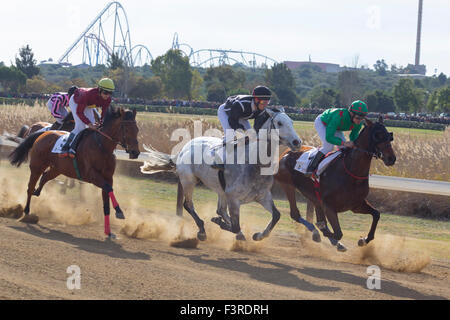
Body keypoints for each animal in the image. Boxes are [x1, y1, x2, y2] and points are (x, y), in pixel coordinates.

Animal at [8, 107, 139, 238]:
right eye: (127, 129)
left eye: (137, 130)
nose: (135, 152)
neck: (102, 146)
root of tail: (43, 133)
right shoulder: (92, 176)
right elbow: (108, 188)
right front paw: (119, 211)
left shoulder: (108, 177)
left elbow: (106, 203)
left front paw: (108, 232)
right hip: (37, 166)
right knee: (30, 187)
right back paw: (26, 211)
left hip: (57, 169)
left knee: (44, 177)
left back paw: (38, 192)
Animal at [141, 107, 316, 240]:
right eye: (279, 123)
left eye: (291, 122)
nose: (297, 142)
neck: (255, 163)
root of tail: (183, 149)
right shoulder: (233, 198)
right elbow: (235, 225)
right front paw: (223, 224)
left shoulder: (262, 196)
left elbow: (276, 215)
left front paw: (258, 235)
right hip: (188, 180)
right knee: (188, 204)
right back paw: (202, 230)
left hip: (220, 190)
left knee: (220, 209)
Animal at [274, 116, 398, 251]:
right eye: (377, 135)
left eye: (389, 135)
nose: (391, 158)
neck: (351, 172)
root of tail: (286, 152)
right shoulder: (329, 206)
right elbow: (337, 232)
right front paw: (322, 232)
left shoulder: (356, 205)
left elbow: (376, 214)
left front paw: (363, 240)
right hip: (288, 185)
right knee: (295, 214)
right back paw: (317, 233)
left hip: (311, 194)